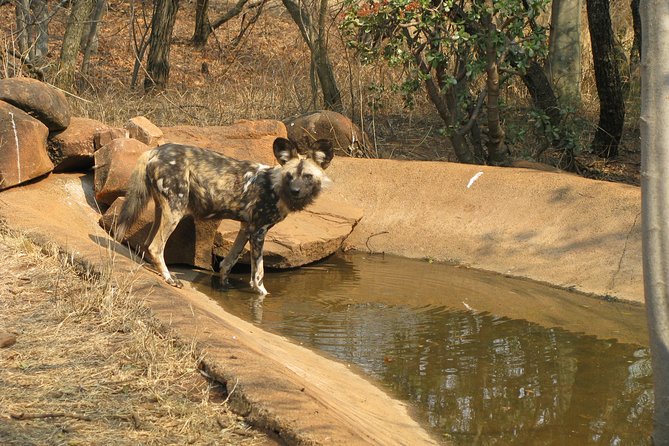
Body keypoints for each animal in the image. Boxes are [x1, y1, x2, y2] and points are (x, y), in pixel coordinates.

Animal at [116, 138, 334, 294]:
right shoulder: (259, 232)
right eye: (290, 175)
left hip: (162, 210)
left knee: (147, 243)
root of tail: (155, 150)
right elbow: (258, 274)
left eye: (307, 176)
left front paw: (224, 284)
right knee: (156, 246)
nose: (296, 191)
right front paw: (261, 296)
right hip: (176, 209)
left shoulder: (246, 228)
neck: (276, 187)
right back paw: (170, 279)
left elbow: (228, 262)